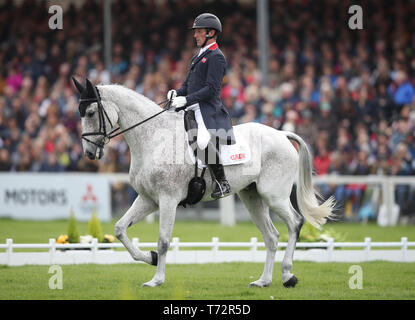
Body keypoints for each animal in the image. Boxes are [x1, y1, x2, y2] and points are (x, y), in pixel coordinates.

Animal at [74, 79, 334, 288]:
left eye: (90, 113)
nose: (89, 153)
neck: (155, 138)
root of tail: (281, 134)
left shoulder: (168, 199)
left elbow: (164, 241)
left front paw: (156, 280)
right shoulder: (148, 199)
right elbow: (120, 229)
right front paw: (150, 258)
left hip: (274, 195)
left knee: (295, 223)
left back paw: (287, 275)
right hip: (252, 196)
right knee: (271, 236)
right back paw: (263, 281)